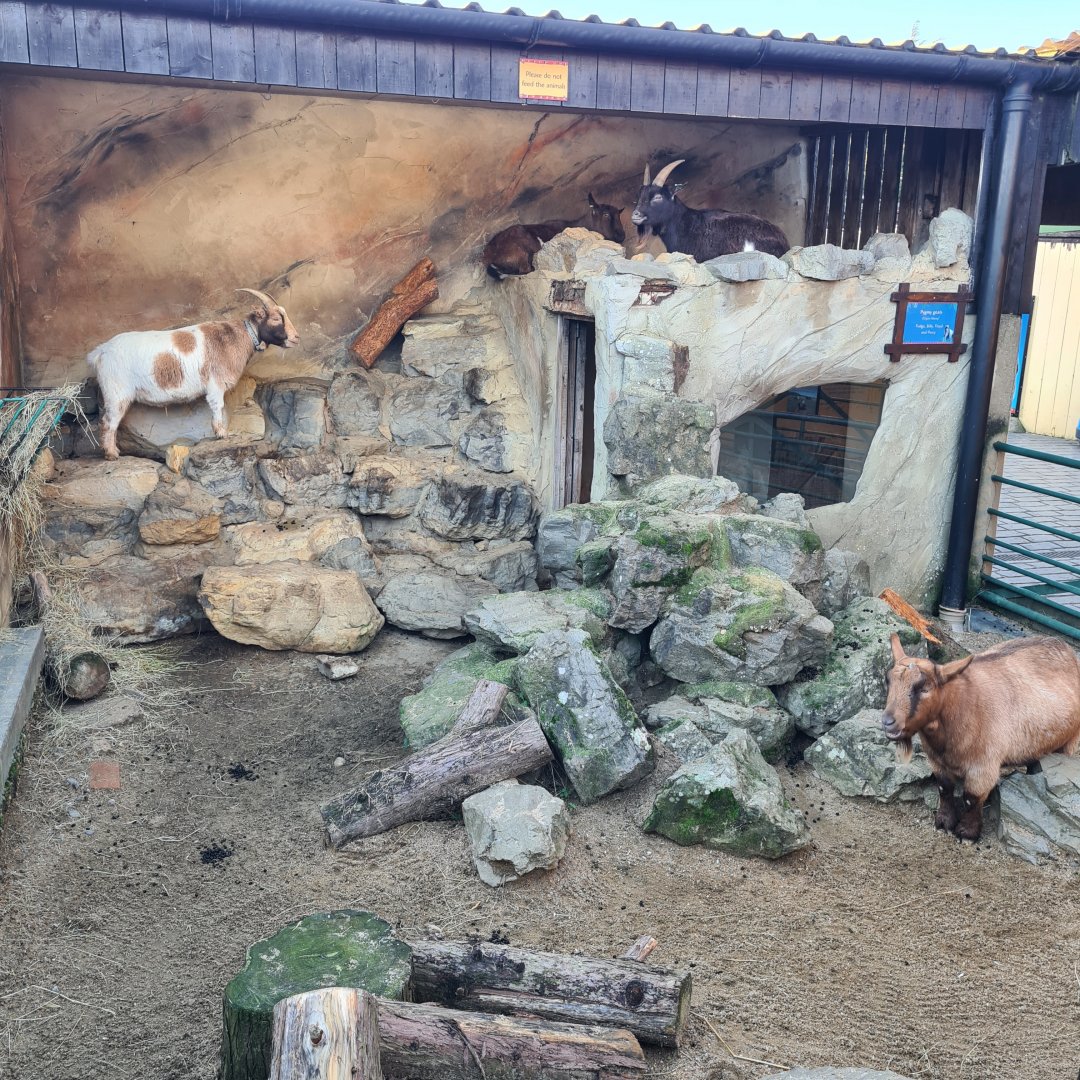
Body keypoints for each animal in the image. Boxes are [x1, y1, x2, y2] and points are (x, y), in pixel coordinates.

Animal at [87, 289, 299, 460]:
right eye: (275, 319)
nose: (296, 338)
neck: (235, 337)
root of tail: (100, 352)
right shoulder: (215, 383)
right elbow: (218, 406)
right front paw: (221, 434)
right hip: (116, 392)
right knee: (108, 422)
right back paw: (112, 454)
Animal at [882, 633, 1080, 841]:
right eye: (888, 680)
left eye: (924, 688)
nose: (888, 722)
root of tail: (1066, 648)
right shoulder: (937, 761)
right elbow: (944, 788)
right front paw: (944, 822)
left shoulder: (983, 766)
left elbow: (972, 798)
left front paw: (967, 833)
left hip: (1070, 742)